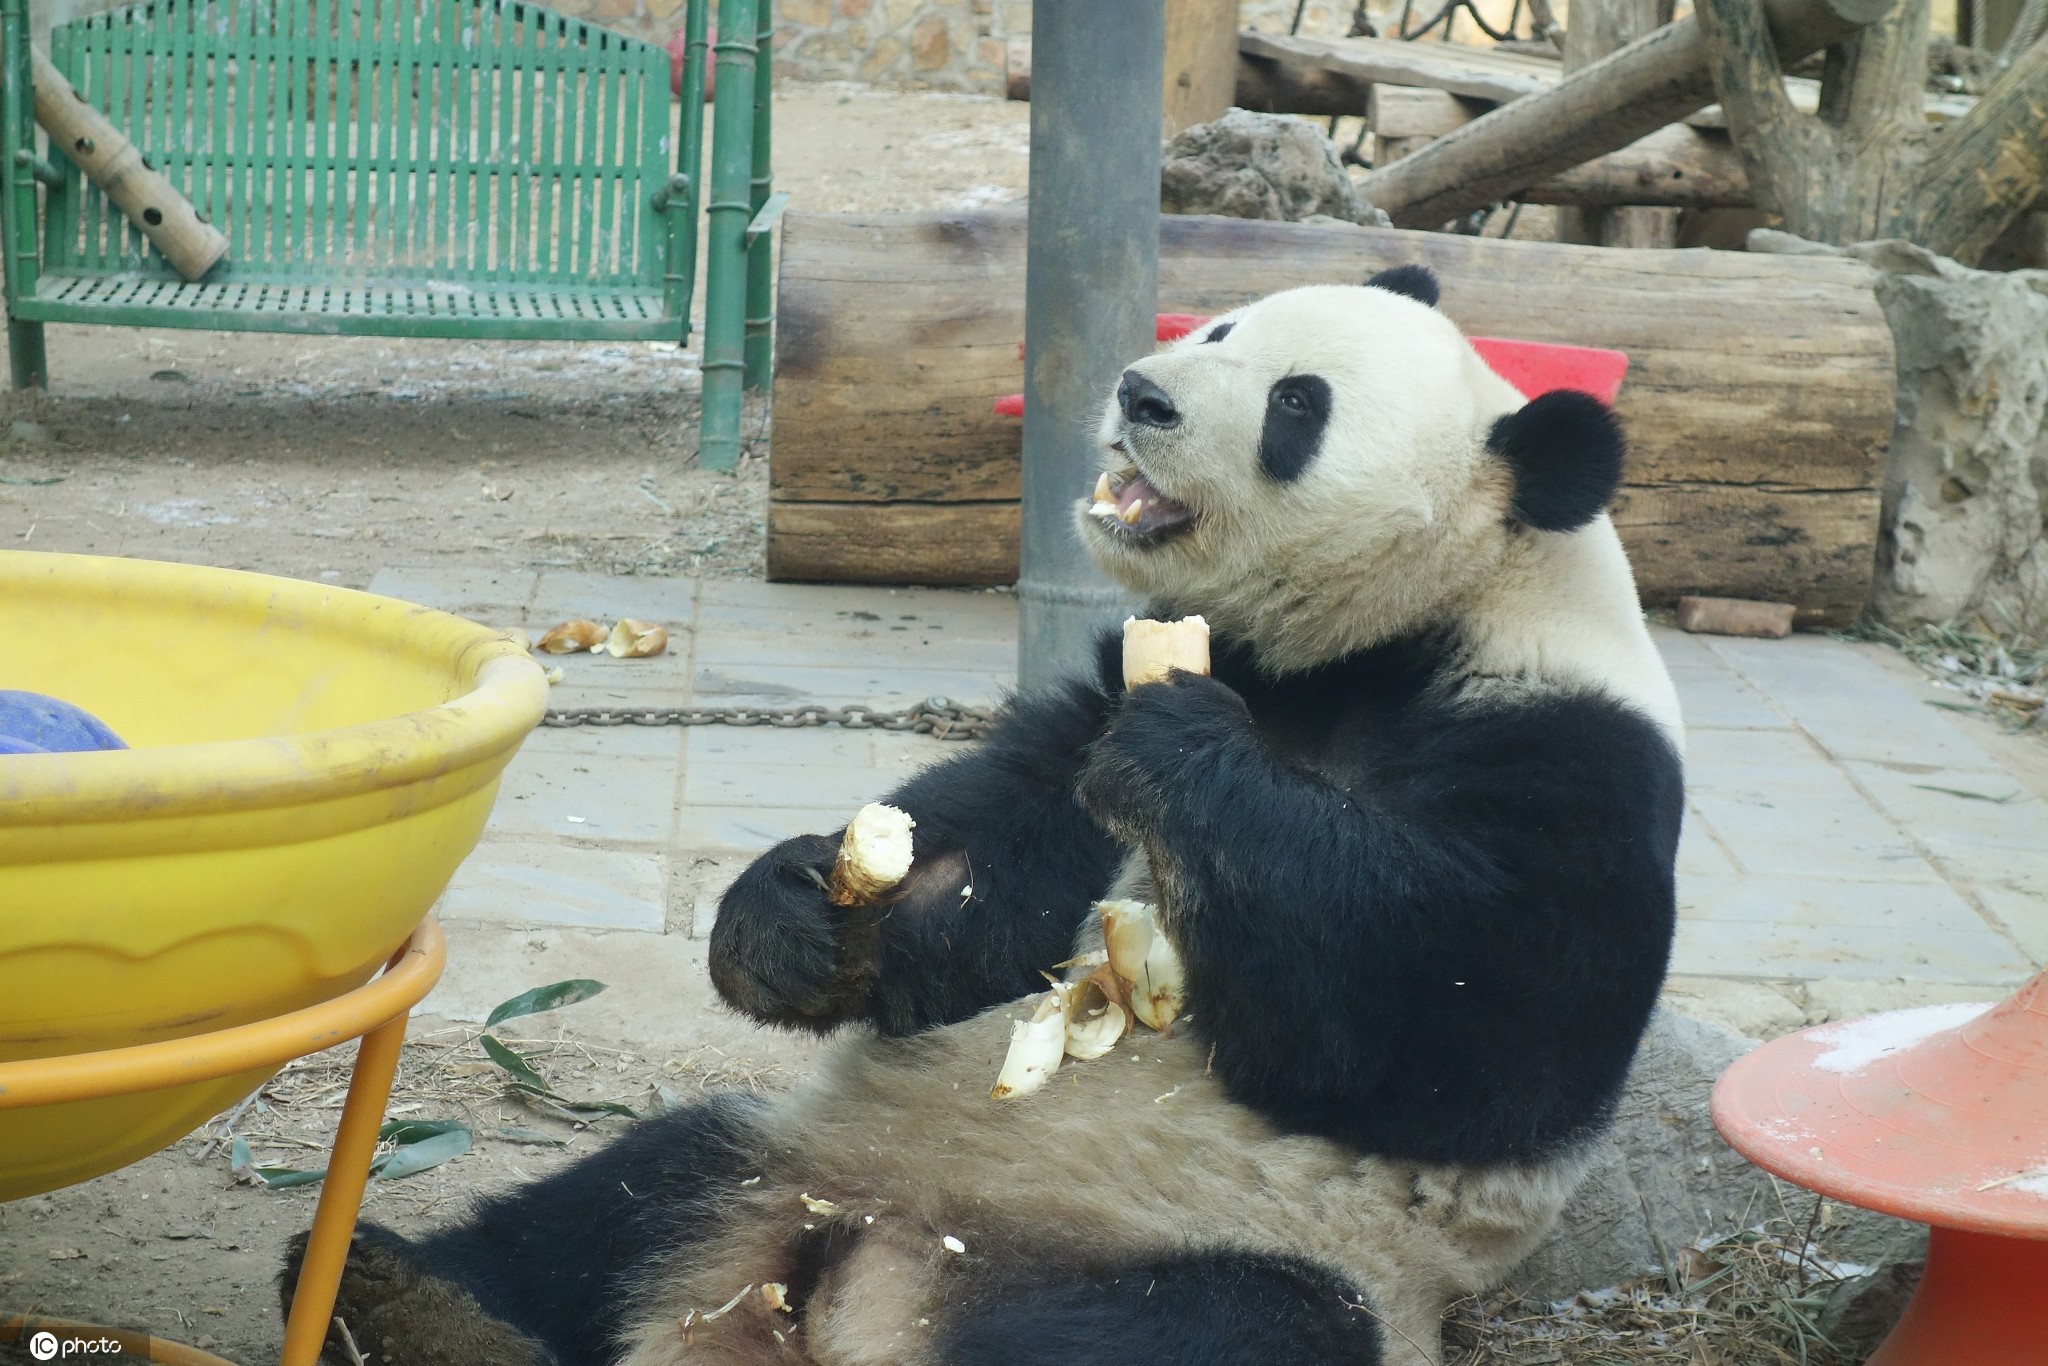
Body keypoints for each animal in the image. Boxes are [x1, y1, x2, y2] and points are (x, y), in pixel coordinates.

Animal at [296, 266, 1687, 1366]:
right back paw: (411, 1301)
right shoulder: (1110, 678)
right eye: (1220, 326)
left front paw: (1188, 758)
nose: (1142, 393)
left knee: (1225, 1328)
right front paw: (794, 919)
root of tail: (864, 1288)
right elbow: (994, 883)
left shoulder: (1570, 758)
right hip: (788, 1163)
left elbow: (1461, 1034)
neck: (1368, 645)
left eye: (1299, 404)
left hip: (1221, 1253)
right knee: (620, 1203)